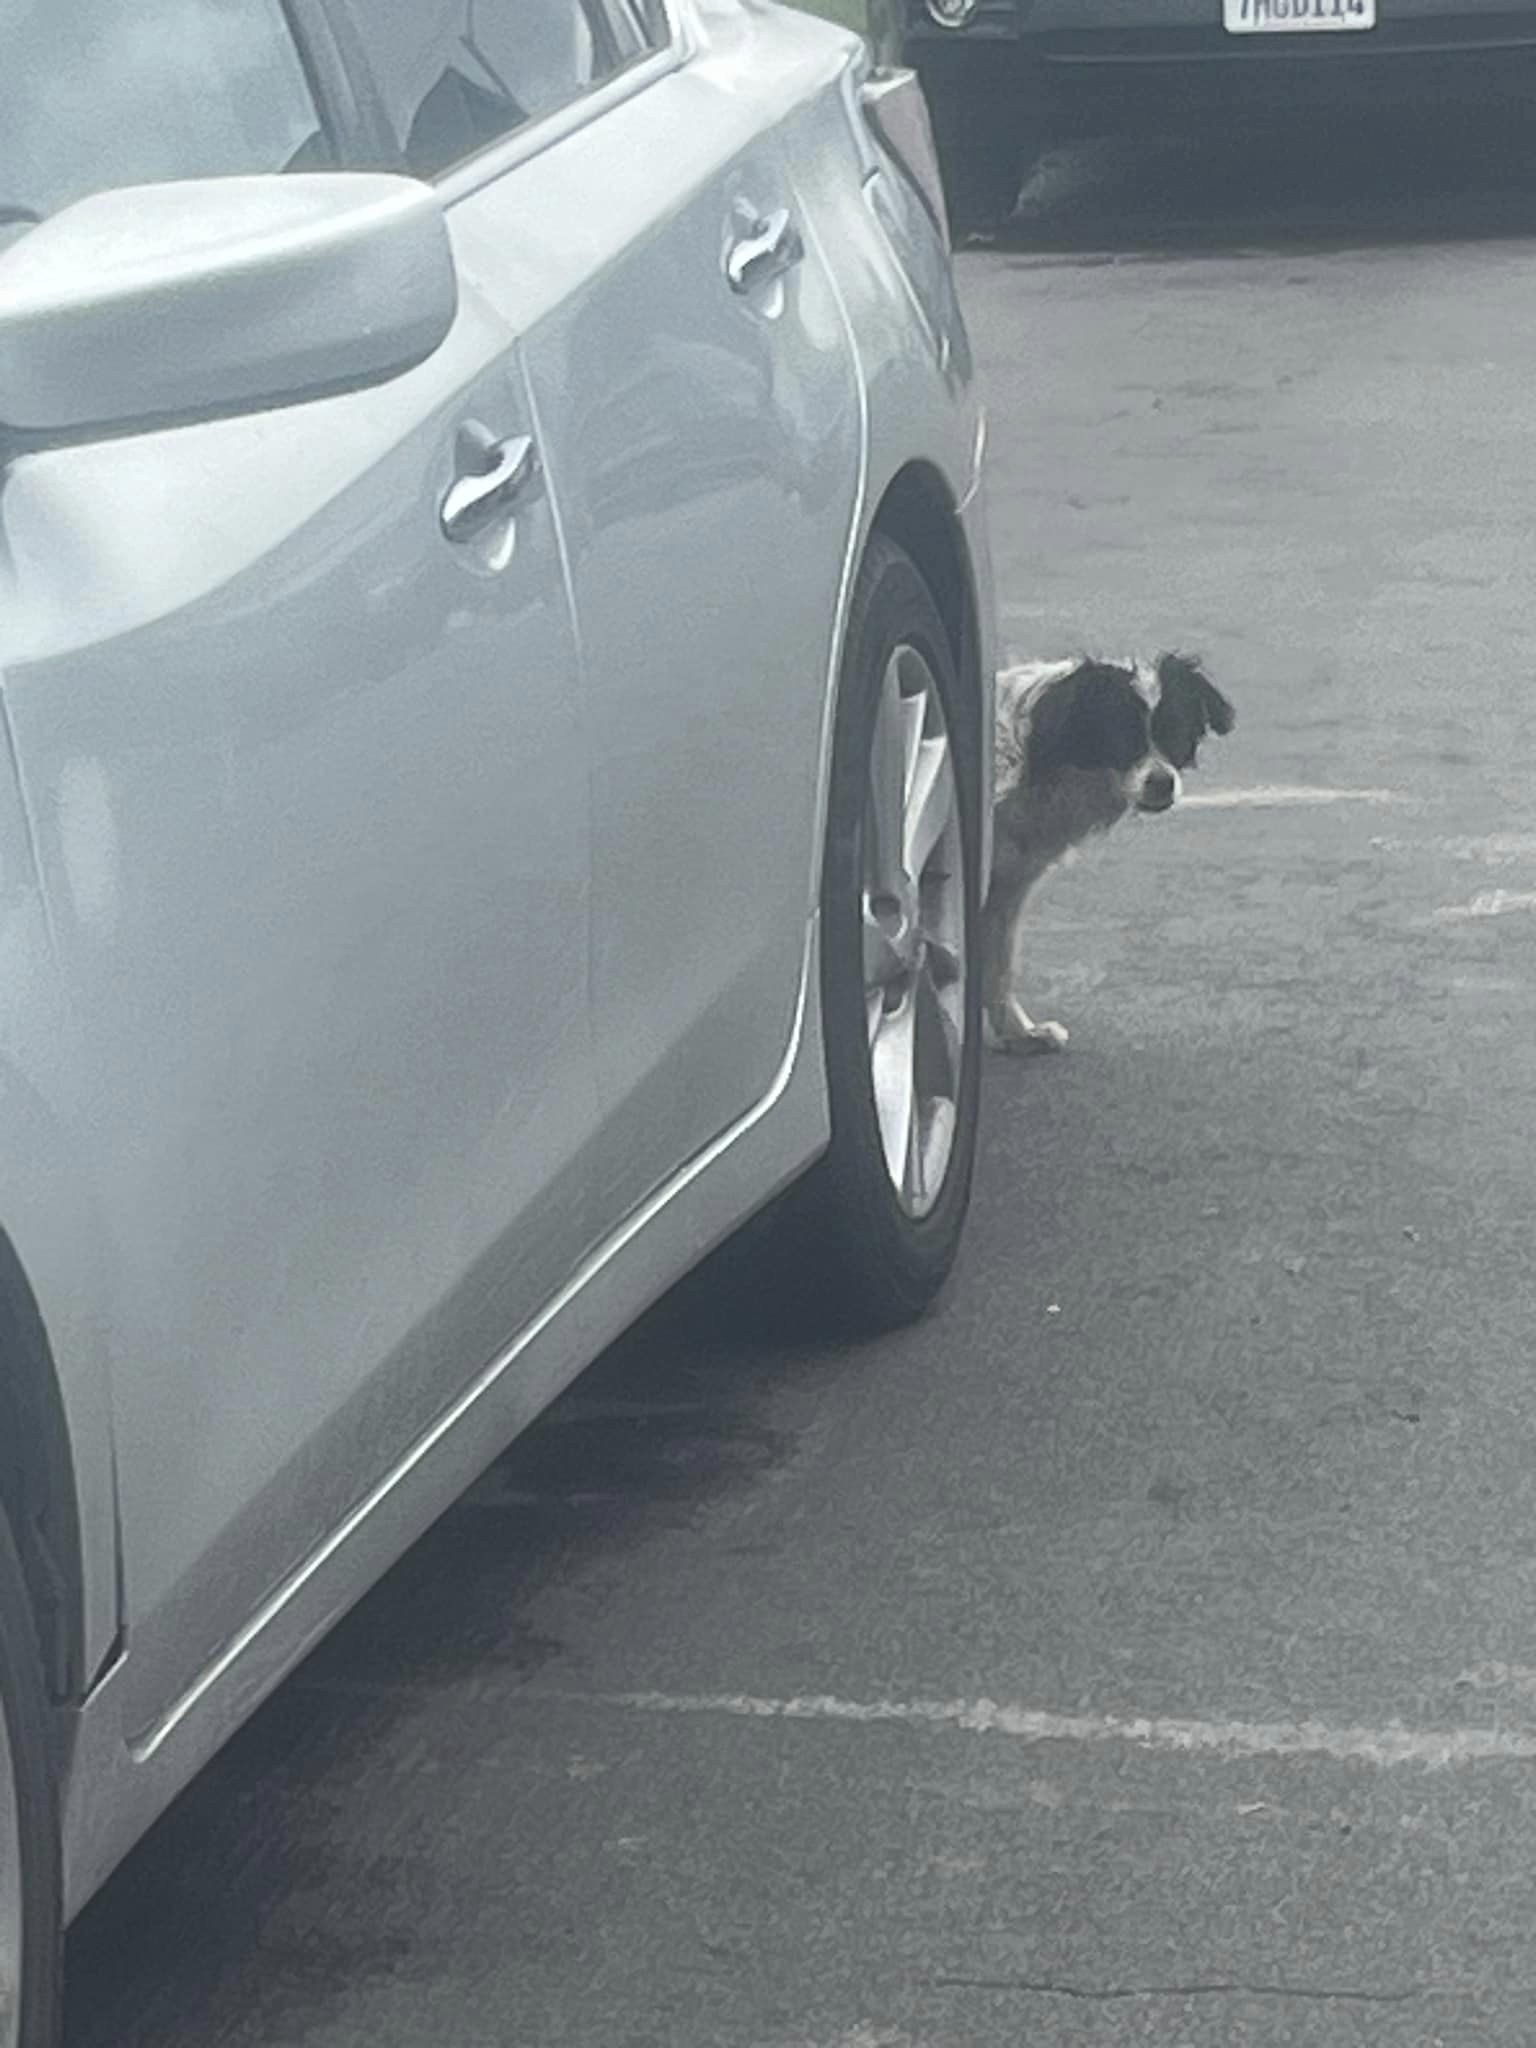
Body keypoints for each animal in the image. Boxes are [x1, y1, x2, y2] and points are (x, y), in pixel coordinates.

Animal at [987, 651, 1236, 1056]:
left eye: (1174, 731)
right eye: (1122, 735)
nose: (1162, 783)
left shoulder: (1005, 885)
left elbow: (998, 967)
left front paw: (1018, 1033)